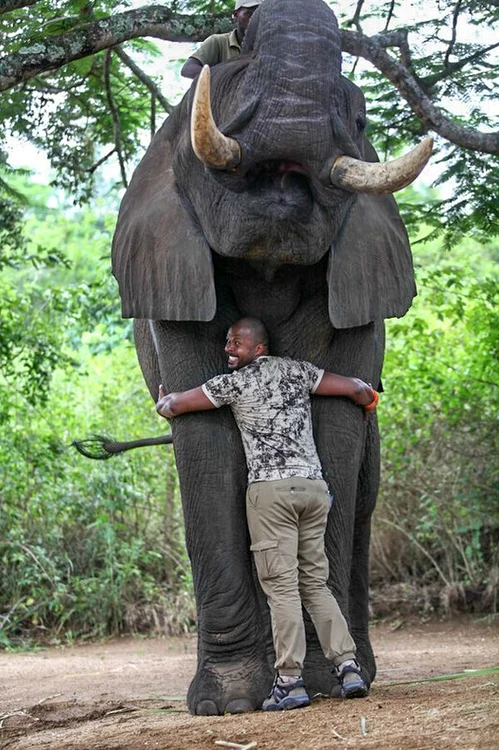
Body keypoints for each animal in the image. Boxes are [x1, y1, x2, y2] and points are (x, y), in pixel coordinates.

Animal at [111, 0, 431, 715]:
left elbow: (334, 426)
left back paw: (353, 670)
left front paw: (327, 680)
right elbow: (202, 433)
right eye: (224, 93)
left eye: (361, 122)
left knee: (362, 494)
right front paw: (226, 702)